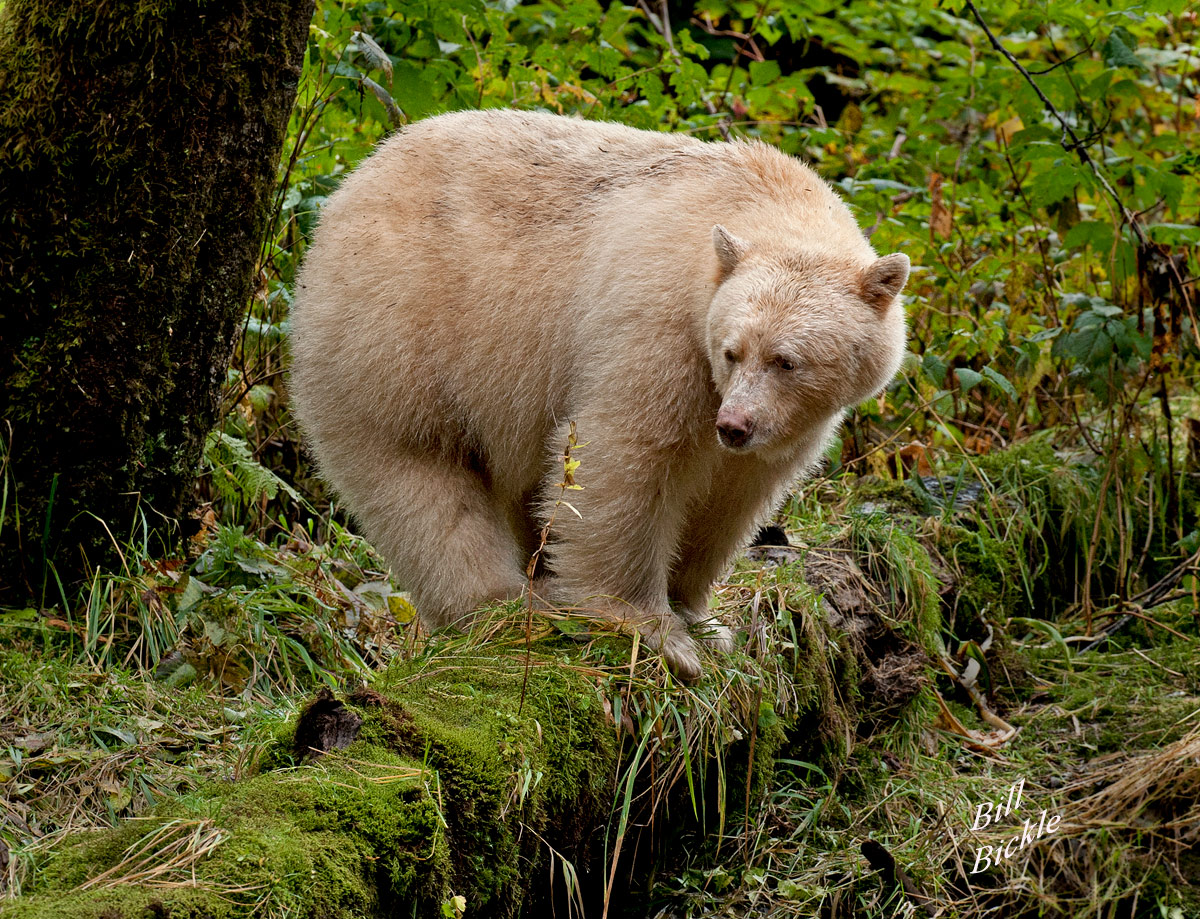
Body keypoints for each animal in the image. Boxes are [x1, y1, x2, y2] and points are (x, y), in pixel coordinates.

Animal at [288, 109, 910, 681]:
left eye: (786, 360)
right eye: (733, 350)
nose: (733, 426)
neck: (764, 195)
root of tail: (351, 184)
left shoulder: (785, 419)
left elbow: (734, 496)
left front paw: (704, 620)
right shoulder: (659, 324)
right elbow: (625, 454)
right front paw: (655, 632)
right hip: (400, 326)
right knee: (420, 473)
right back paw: (502, 608)